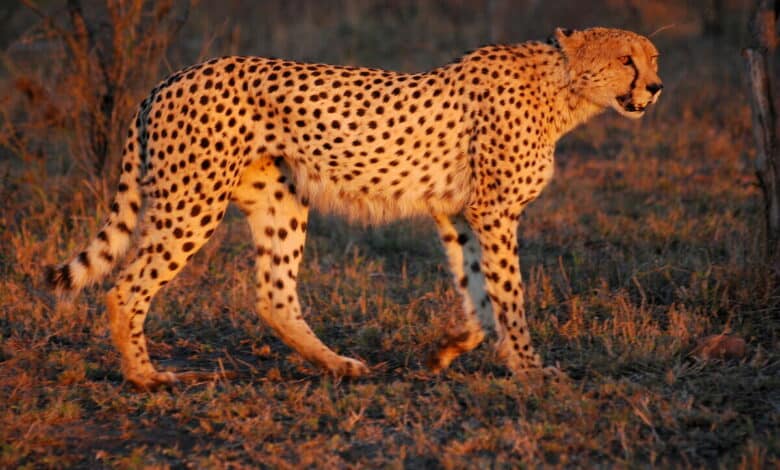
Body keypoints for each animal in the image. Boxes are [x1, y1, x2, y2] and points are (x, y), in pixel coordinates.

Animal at [48, 27, 662, 390]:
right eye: (625, 60)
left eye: (653, 59)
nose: (655, 88)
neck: (564, 89)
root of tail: (169, 79)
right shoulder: (492, 212)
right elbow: (509, 296)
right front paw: (531, 369)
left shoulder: (457, 214)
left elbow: (479, 294)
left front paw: (450, 349)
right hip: (191, 203)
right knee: (125, 288)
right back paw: (144, 377)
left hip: (281, 200)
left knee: (274, 297)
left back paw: (338, 365)